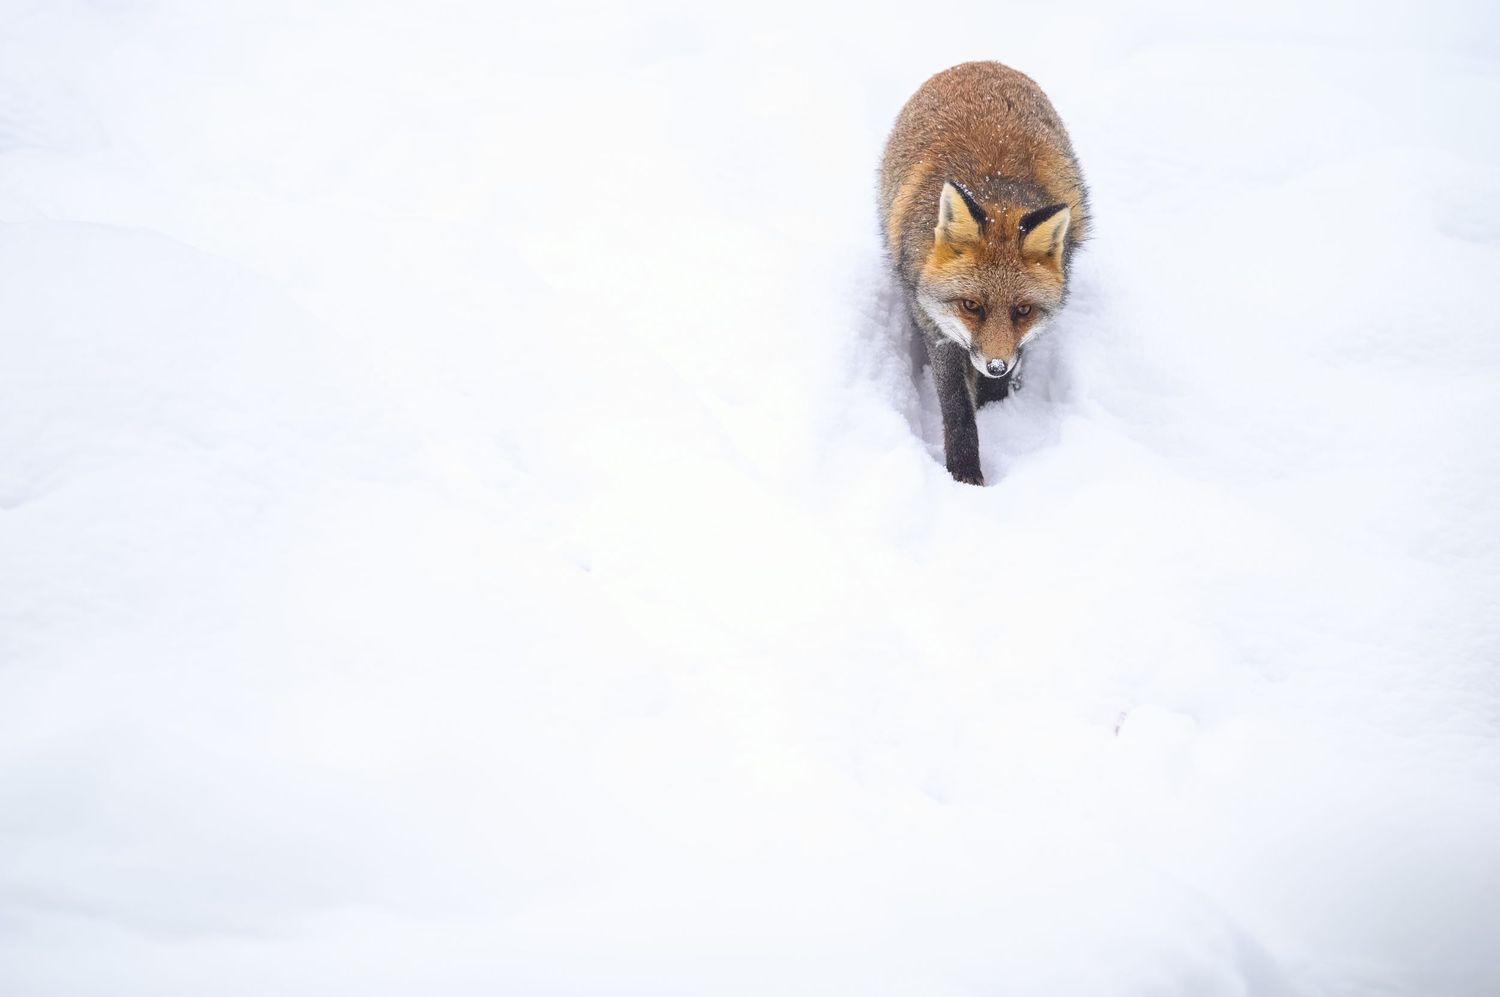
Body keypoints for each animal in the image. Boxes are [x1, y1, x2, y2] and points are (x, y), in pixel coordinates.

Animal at [879, 61, 1089, 485]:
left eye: (1023, 310)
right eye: (970, 306)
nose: (995, 365)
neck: (996, 191)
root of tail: (981, 63)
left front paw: (996, 413)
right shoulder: (938, 328)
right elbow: (957, 409)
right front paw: (964, 475)